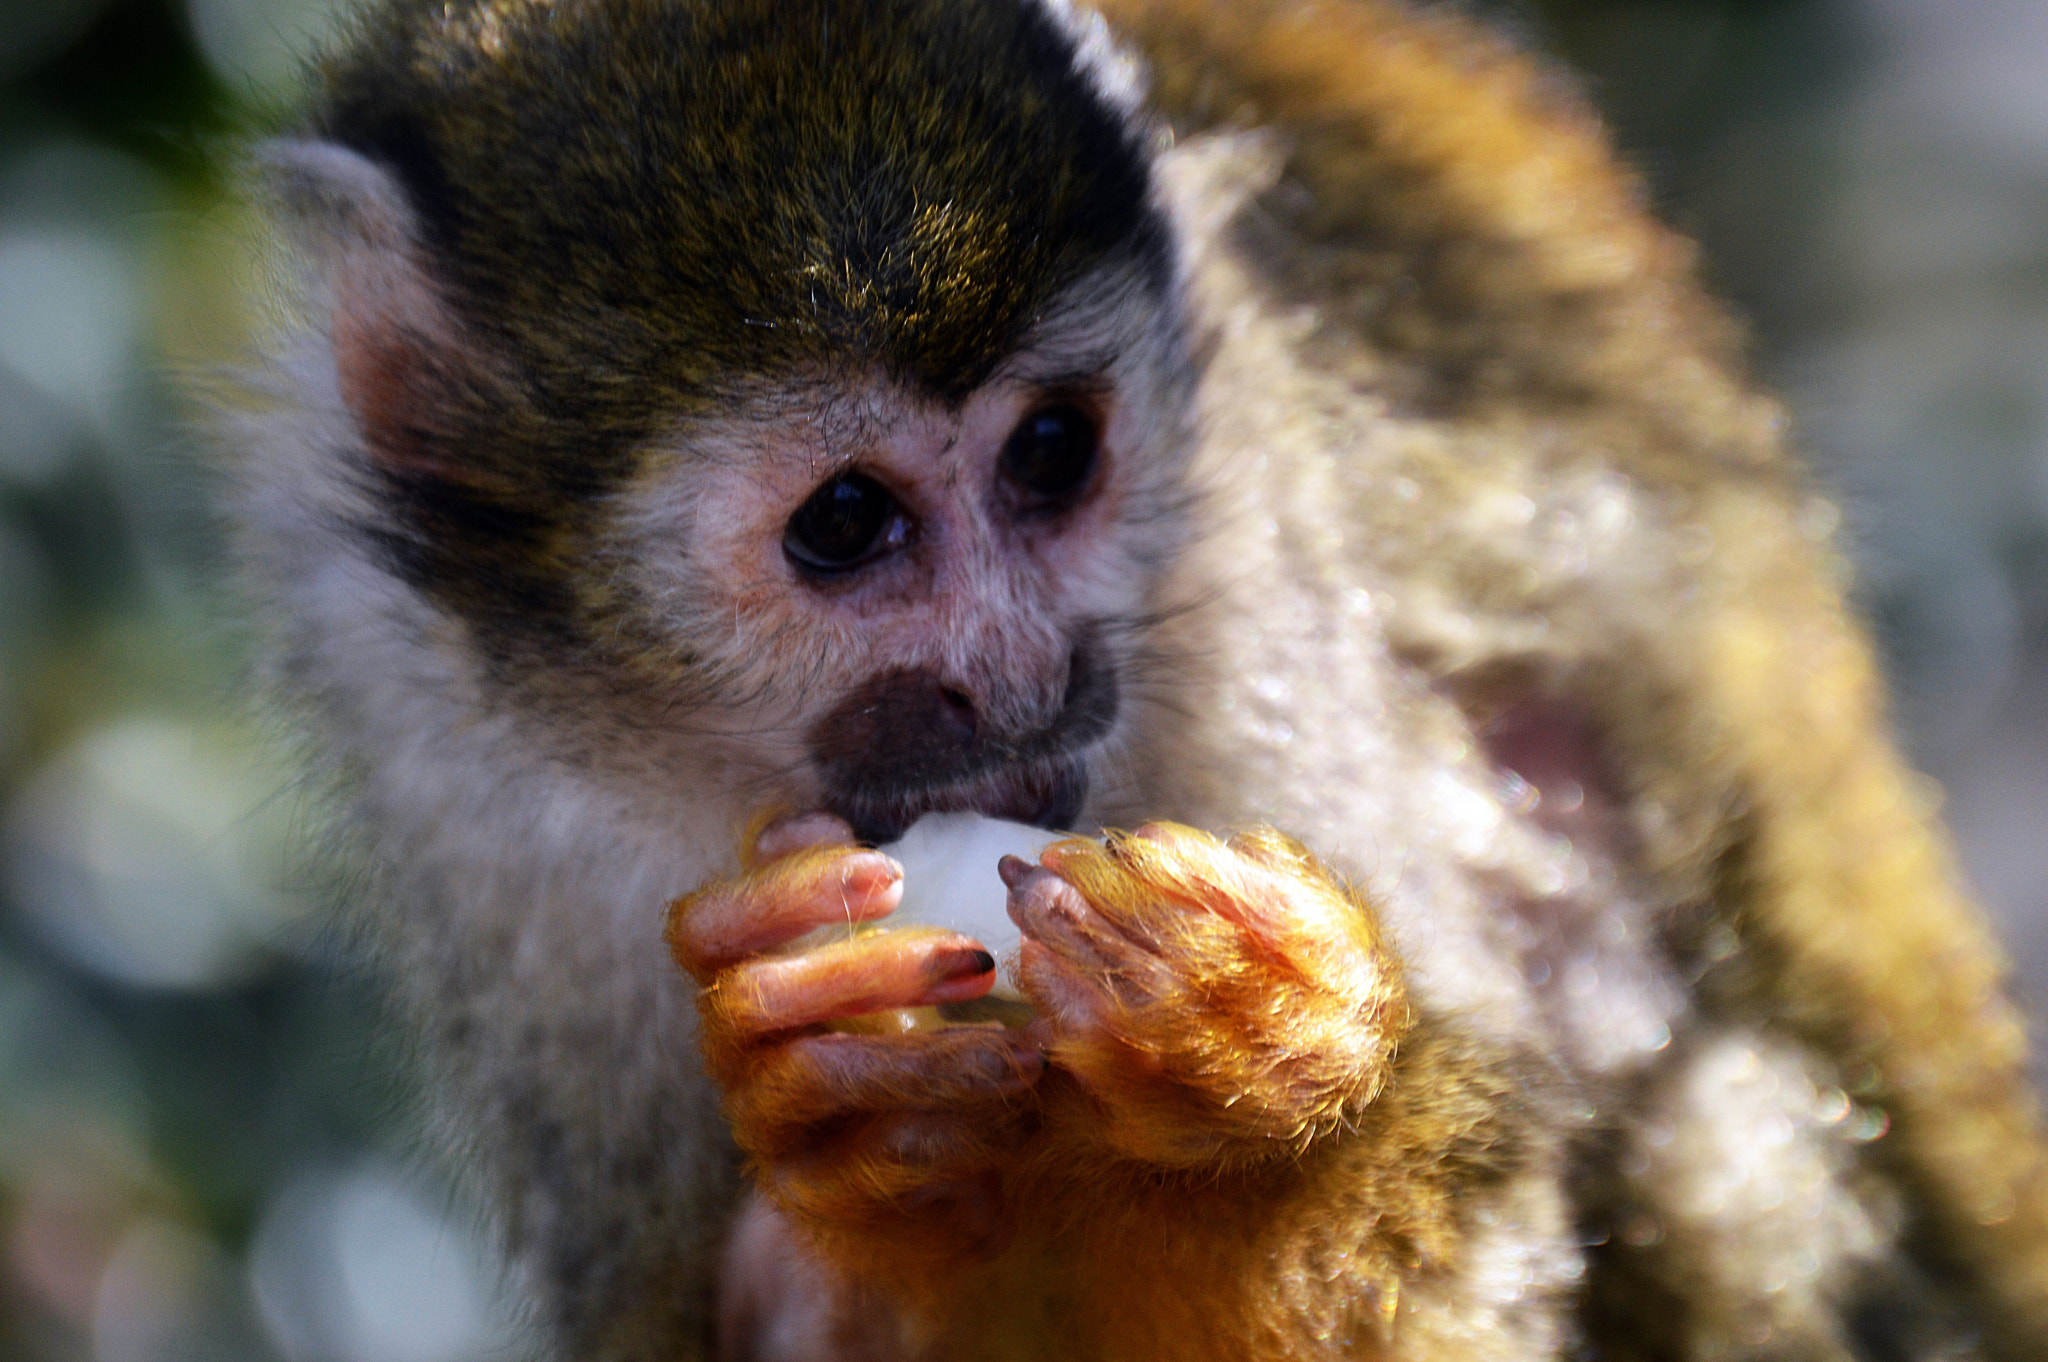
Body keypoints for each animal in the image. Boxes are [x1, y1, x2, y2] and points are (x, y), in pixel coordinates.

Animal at [216, 0, 2048, 1358]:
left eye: (1049, 452)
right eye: (843, 522)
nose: (1022, 674)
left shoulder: (1267, 582)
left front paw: (1279, 1084)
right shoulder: (447, 746)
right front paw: (850, 1166)